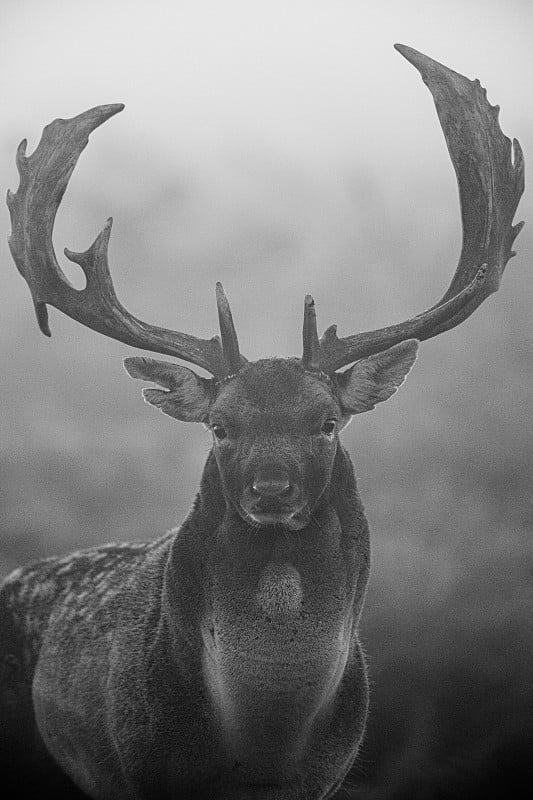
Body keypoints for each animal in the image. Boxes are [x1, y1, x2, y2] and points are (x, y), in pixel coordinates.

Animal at [0, 45, 524, 800]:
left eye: (328, 422)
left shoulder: (327, 778)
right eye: (220, 426)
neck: (259, 751)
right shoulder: (138, 766)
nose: (271, 490)